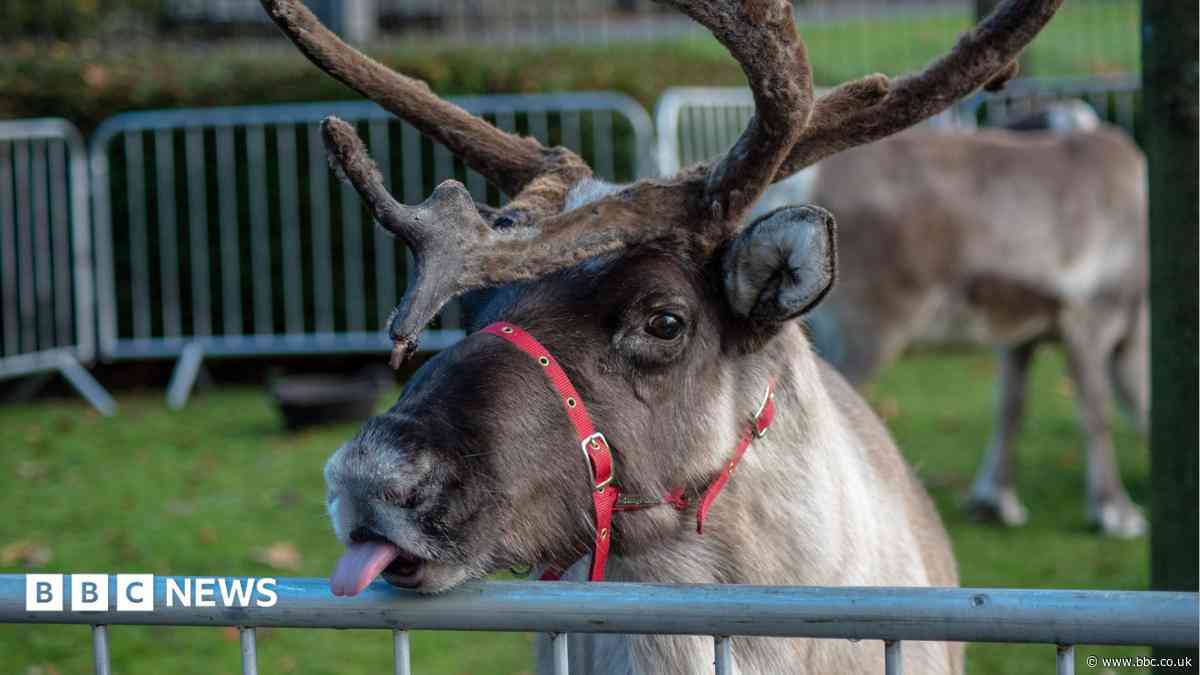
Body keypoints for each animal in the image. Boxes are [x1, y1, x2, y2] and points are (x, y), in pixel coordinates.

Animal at [795, 103, 1148, 539]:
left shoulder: (1021, 334)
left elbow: (1011, 408)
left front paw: (995, 502)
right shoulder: (1090, 318)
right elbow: (1096, 413)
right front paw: (1116, 512)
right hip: (865, 329)